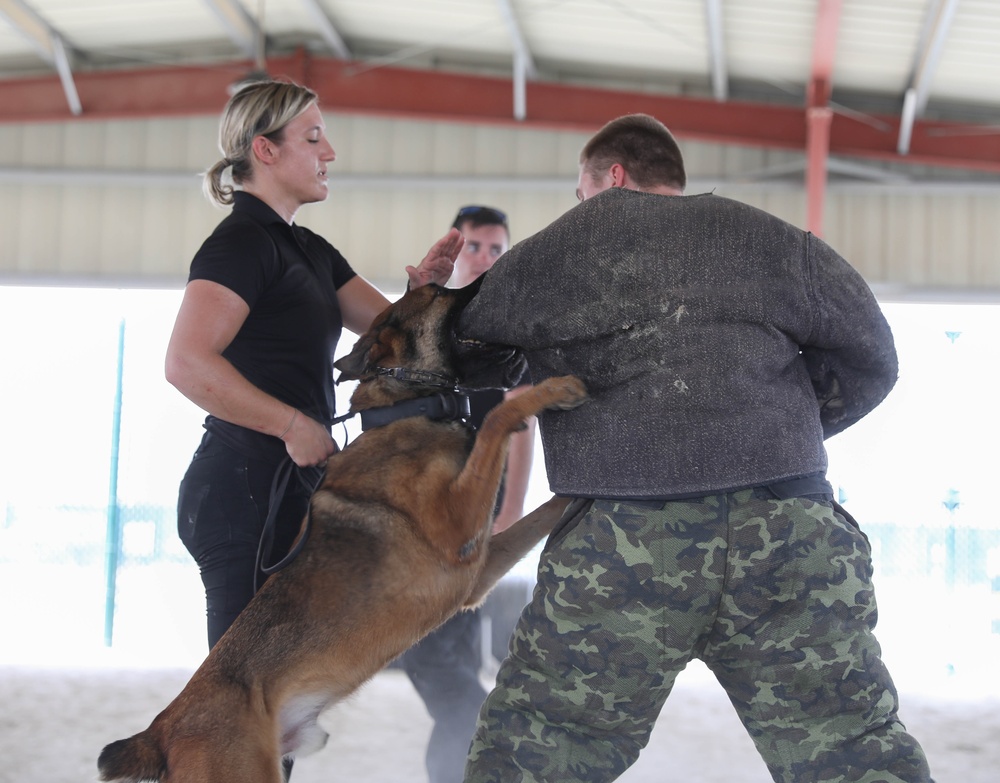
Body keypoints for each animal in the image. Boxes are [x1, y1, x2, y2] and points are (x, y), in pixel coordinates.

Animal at [98, 282, 588, 783]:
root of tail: (160, 730)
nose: (488, 276)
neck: (407, 407)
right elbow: (494, 422)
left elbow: (543, 509)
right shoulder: (458, 528)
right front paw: (553, 390)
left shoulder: (479, 570)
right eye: (437, 291)